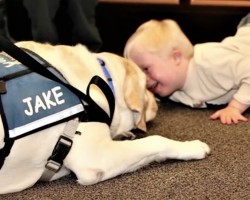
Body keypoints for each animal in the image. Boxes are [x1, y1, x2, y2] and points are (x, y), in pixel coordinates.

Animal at [0, 40, 210, 194]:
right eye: (146, 87)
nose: (157, 98)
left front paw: (124, 135)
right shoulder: (95, 158)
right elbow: (155, 141)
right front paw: (192, 147)